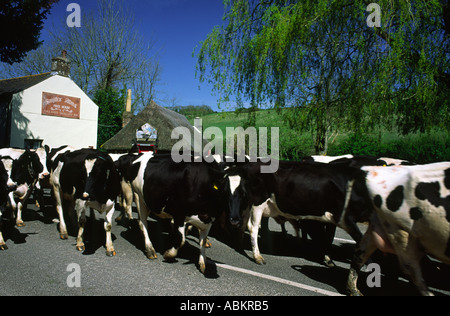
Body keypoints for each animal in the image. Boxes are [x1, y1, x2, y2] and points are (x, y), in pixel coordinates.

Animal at [346, 163, 448, 296]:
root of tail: (374, 170)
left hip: (379, 224)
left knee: (360, 253)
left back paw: (354, 290)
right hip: (400, 230)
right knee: (410, 267)